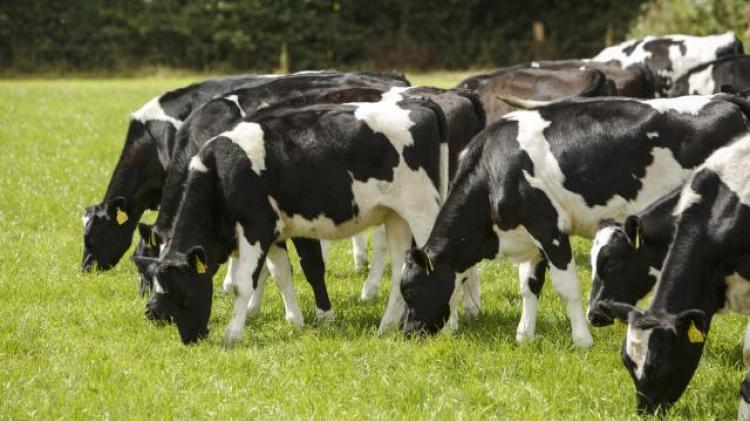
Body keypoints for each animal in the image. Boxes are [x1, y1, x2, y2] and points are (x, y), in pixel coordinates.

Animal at [132, 89, 451, 344]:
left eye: (183, 295)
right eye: (158, 287)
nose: (189, 339)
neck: (221, 172)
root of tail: (420, 104)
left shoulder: (255, 228)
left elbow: (242, 284)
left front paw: (233, 334)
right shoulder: (274, 231)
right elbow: (281, 274)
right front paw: (295, 320)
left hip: (423, 211)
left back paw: (451, 327)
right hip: (396, 217)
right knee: (401, 270)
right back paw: (386, 326)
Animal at [398, 93, 750, 349]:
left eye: (410, 291)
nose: (407, 332)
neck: (494, 169)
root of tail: (726, 98)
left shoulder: (550, 228)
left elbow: (566, 287)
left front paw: (582, 340)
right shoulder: (531, 238)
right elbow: (529, 286)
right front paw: (524, 336)